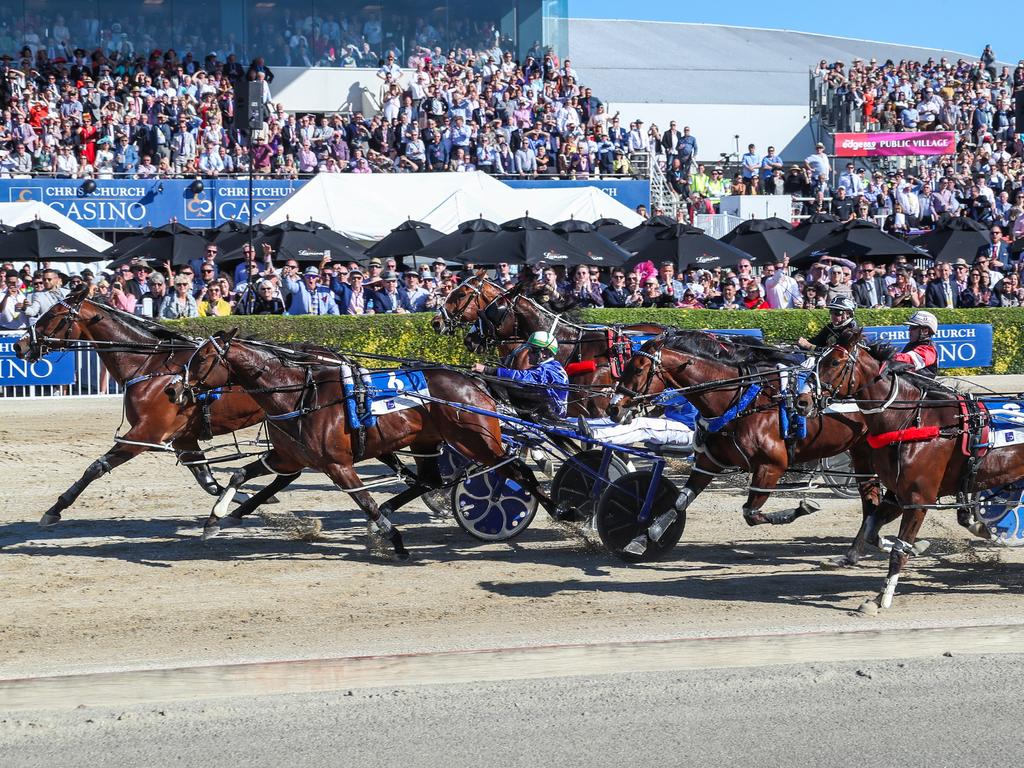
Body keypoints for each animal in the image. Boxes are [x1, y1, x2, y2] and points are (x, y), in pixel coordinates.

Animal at [14, 288, 266, 528]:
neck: (151, 367)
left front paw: (55, 509)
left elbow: (96, 467)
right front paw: (243, 498)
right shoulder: (183, 437)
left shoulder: (145, 433)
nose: (19, 345)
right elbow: (208, 482)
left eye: (53, 315)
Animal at [182, 331, 552, 561]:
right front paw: (216, 520)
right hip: (428, 441)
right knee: (430, 480)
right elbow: (239, 475)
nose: (176, 390)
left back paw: (557, 510)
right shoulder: (286, 457)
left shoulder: (337, 465)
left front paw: (396, 541)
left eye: (201, 359)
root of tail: (476, 383)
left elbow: (364, 501)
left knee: (517, 469)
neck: (301, 395)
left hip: (476, 440)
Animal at [602, 333, 884, 561]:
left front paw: (803, 507)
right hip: (862, 452)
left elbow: (751, 513)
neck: (739, 401)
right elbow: (680, 501)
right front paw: (644, 536)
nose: (614, 408)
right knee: (870, 498)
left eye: (639, 369)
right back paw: (864, 545)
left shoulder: (771, 466)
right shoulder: (708, 463)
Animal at [794, 329, 1024, 614]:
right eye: (818, 361)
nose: (801, 402)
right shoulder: (896, 494)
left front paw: (884, 598)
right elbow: (872, 532)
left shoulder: (918, 500)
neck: (912, 421)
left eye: (835, 362)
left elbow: (899, 550)